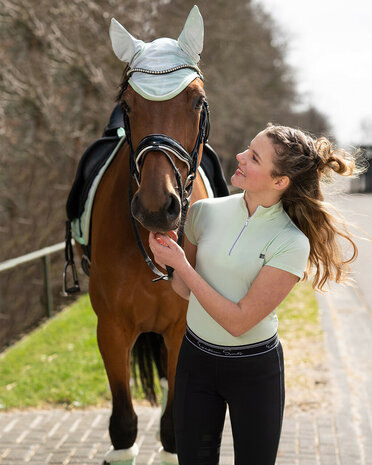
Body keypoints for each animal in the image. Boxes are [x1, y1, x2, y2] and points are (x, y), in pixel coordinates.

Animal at [88, 7, 212, 464]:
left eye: (197, 101)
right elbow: (123, 425)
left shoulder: (179, 329)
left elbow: (175, 427)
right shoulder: (111, 328)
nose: (158, 207)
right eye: (127, 104)